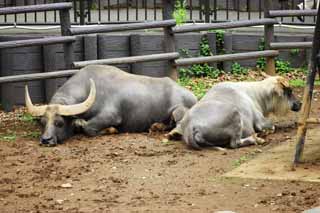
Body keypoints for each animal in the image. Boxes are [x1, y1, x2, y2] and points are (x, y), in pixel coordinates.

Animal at [25, 64, 196, 146]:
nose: (46, 140)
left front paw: (111, 130)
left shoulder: (111, 116)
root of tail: (192, 96)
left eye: (59, 122)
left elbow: (88, 128)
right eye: (42, 122)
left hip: (178, 110)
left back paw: (174, 133)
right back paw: (156, 126)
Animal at [169, 76, 302, 150]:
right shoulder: (260, 121)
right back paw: (256, 139)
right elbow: (272, 126)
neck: (255, 95)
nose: (300, 103)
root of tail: (191, 125)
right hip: (235, 115)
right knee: (235, 143)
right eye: (289, 91)